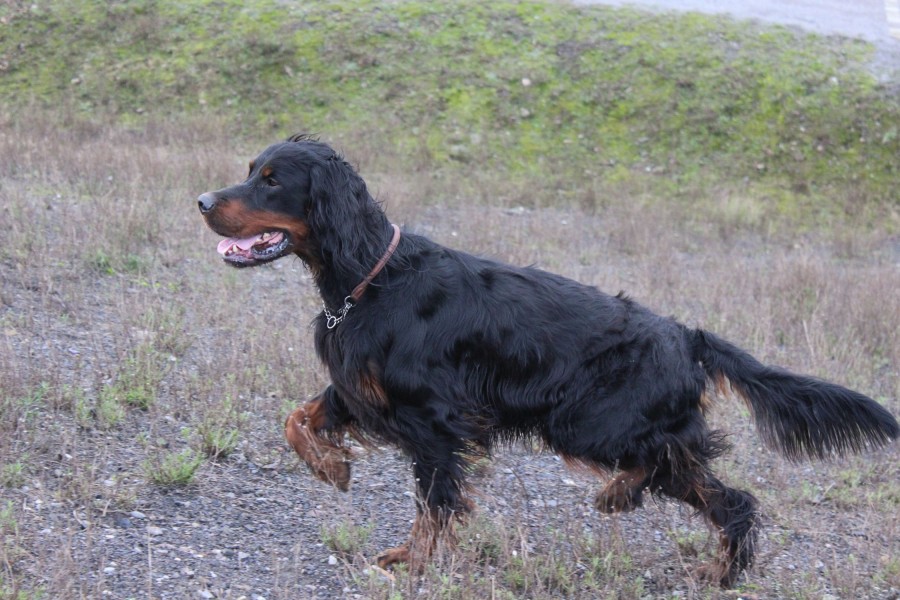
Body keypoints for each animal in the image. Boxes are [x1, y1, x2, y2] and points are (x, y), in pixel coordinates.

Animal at [198, 134, 898, 587]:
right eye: (252, 168)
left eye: (273, 180)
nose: (203, 202)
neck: (370, 277)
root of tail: (686, 335)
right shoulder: (362, 389)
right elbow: (296, 418)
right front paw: (333, 467)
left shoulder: (436, 422)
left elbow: (434, 504)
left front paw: (412, 561)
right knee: (723, 496)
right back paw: (713, 565)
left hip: (591, 423)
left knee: (692, 477)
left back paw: (636, 505)